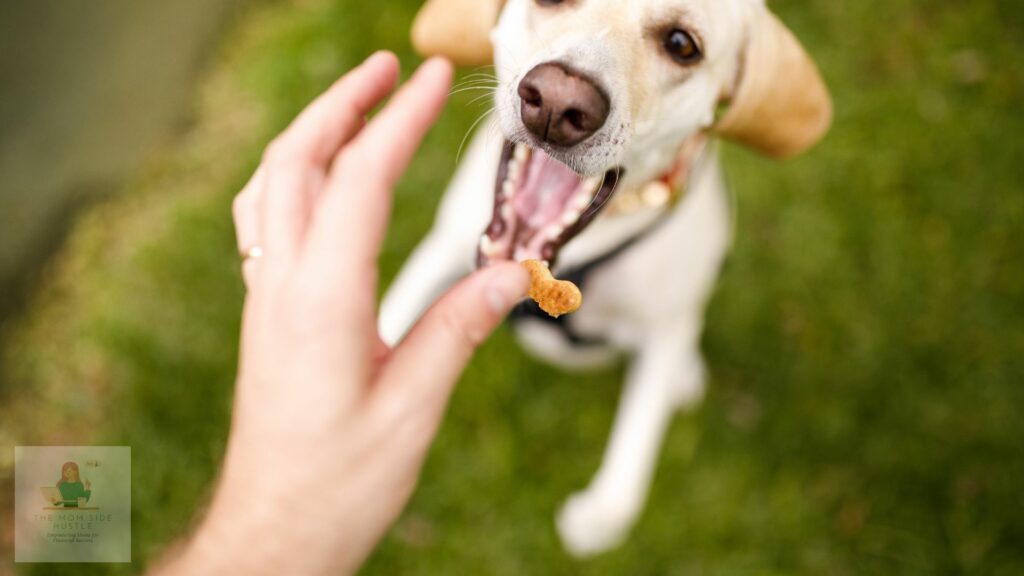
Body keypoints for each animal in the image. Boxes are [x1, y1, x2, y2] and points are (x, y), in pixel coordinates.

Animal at [380, 0, 827, 557]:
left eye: (681, 44)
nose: (556, 104)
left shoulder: (664, 330)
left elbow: (625, 483)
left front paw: (594, 521)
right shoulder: (440, 251)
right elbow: (384, 322)